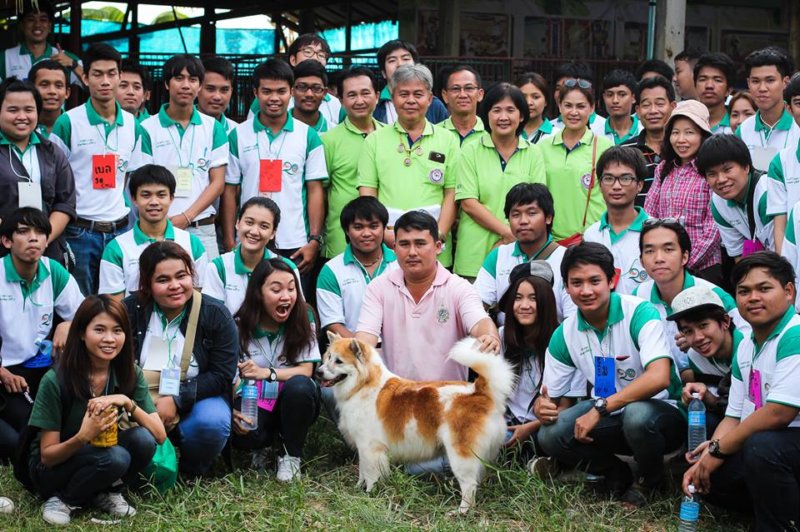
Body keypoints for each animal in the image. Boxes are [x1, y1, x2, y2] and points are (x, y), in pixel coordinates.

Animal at [316, 332, 515, 513]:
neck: (364, 385)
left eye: (339, 361)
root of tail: (479, 391)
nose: (318, 372)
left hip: (460, 455)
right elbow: (362, 471)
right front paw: (358, 488)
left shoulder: (370, 448)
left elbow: (371, 474)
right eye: (327, 357)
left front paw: (369, 494)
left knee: (469, 485)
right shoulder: (363, 448)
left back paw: (460, 511)